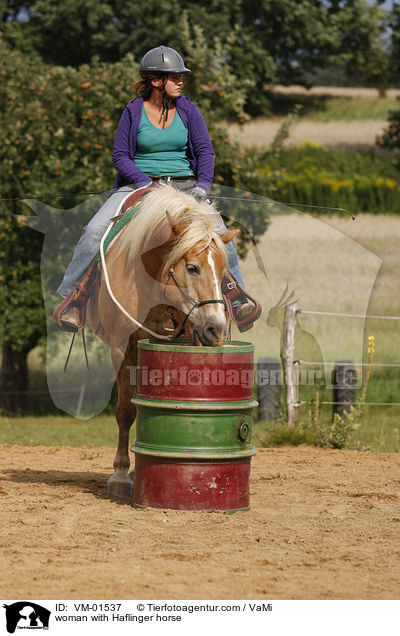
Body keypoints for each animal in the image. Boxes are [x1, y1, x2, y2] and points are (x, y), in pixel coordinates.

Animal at [86, 184, 238, 496]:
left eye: (223, 271)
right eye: (192, 267)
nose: (216, 329)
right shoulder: (121, 347)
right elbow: (125, 409)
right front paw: (120, 474)